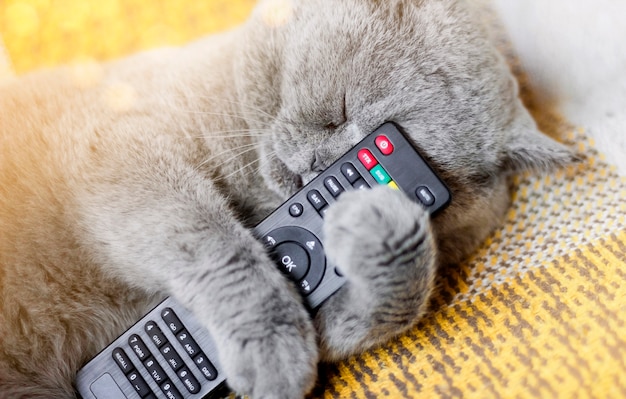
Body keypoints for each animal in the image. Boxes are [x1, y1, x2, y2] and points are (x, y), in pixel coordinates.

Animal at [0, 0, 576, 398]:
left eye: (432, 175)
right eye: (341, 109)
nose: (320, 171)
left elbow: (387, 310)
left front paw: (380, 229)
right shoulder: (117, 154)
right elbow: (217, 246)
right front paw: (272, 352)